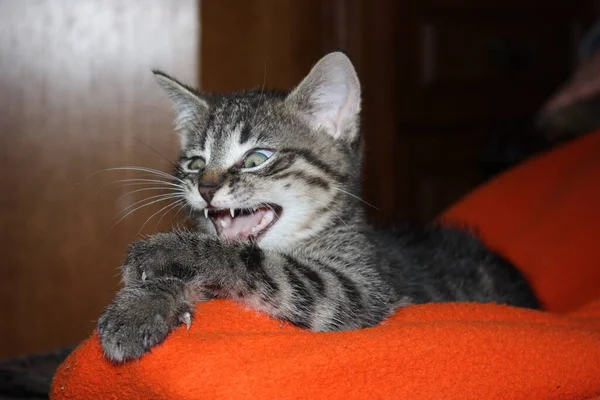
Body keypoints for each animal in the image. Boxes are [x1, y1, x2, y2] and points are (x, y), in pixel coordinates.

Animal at [97, 52, 540, 362]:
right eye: (194, 163)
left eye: (256, 157)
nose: (205, 188)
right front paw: (140, 306)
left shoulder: (358, 289)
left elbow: (257, 264)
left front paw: (166, 252)